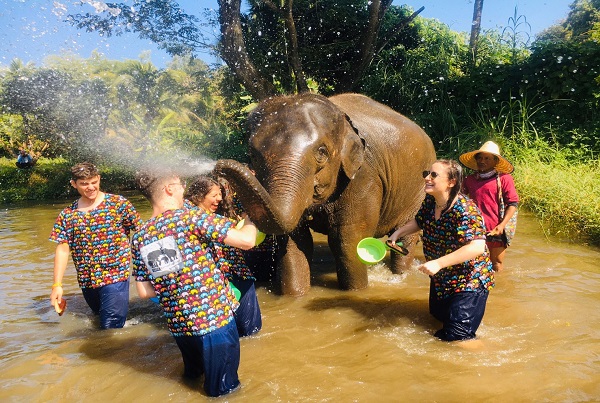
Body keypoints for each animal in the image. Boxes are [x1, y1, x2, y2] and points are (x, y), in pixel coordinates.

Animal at [216, 94, 436, 296]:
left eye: (321, 152)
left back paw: (400, 274)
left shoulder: (363, 175)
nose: (219, 166)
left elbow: (346, 240)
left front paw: (356, 292)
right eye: (253, 155)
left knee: (405, 236)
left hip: (419, 190)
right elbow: (294, 242)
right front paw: (296, 296)